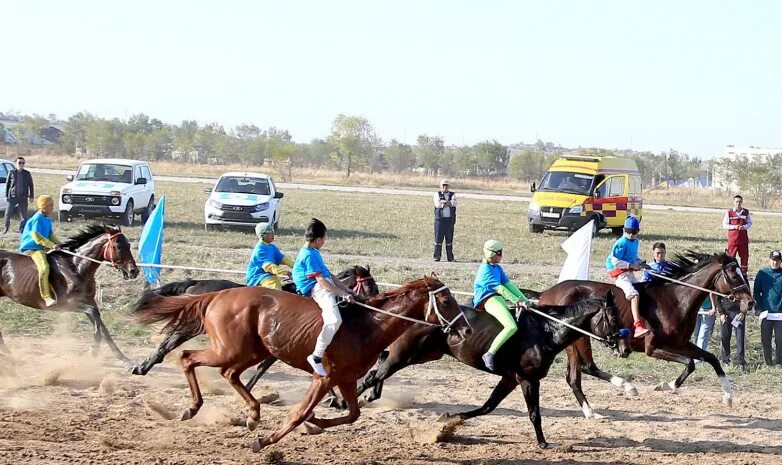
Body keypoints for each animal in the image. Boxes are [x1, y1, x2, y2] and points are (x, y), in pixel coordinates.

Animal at [0, 225, 139, 362]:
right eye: (118, 246)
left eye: (129, 245)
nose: (134, 271)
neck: (76, 267)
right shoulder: (65, 304)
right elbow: (94, 313)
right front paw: (94, 350)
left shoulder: (89, 300)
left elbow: (102, 326)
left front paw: (124, 359)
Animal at [133, 276, 472, 450]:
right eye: (445, 301)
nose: (467, 330)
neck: (367, 325)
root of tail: (219, 294)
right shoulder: (323, 378)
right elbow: (298, 414)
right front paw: (266, 440)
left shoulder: (346, 379)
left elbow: (353, 414)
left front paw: (317, 422)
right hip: (229, 349)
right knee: (188, 357)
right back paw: (192, 407)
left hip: (250, 352)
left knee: (229, 374)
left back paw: (252, 413)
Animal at [544, 250, 756, 410]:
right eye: (734, 275)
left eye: (743, 274)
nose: (750, 302)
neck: (677, 299)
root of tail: (547, 292)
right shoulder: (653, 348)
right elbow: (690, 363)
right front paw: (666, 385)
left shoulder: (680, 344)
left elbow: (710, 359)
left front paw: (728, 396)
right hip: (576, 338)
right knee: (585, 368)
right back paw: (627, 387)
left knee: (578, 374)